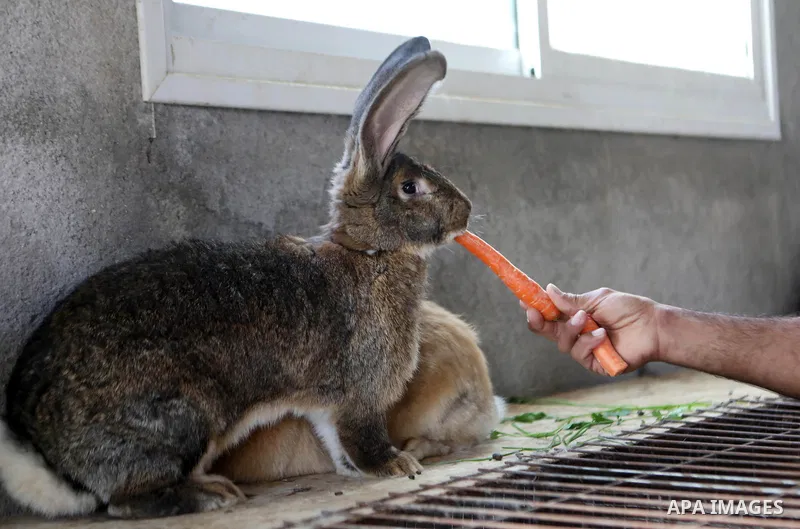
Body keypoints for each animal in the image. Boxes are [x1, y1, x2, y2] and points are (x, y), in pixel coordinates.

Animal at [0, 36, 472, 520]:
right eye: (411, 188)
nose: (466, 211)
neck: (370, 252)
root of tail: (50, 460)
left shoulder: (327, 406)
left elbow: (338, 447)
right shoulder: (362, 394)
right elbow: (363, 439)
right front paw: (399, 466)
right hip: (185, 416)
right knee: (126, 501)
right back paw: (212, 494)